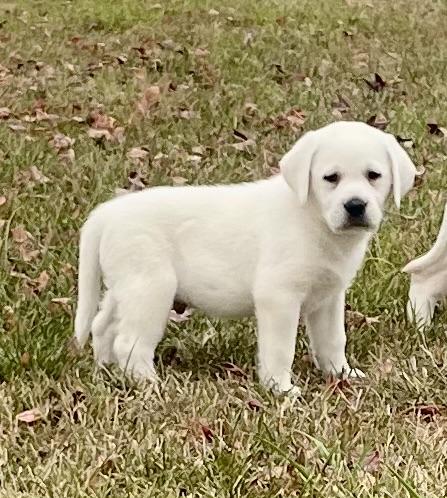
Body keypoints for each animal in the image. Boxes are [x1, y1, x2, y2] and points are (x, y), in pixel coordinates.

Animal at [74, 121, 416, 394]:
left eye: (374, 175)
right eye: (330, 178)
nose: (355, 205)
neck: (312, 216)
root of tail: (107, 213)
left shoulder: (328, 298)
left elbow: (333, 340)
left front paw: (342, 374)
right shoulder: (278, 296)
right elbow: (280, 349)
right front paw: (281, 389)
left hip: (124, 287)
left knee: (103, 326)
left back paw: (105, 370)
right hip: (150, 289)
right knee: (129, 341)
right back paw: (149, 383)